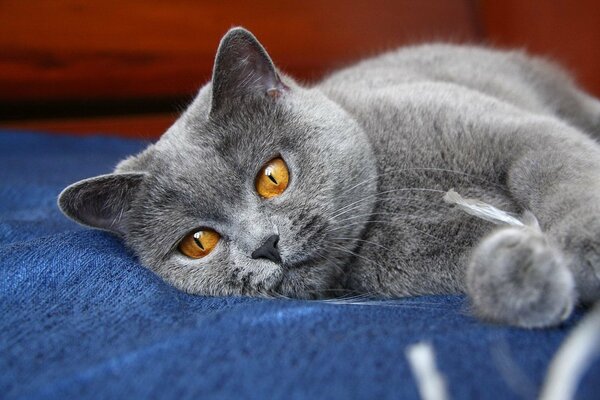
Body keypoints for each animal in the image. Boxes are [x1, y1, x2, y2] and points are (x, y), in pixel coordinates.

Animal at [58, 28, 600, 328]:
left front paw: (587, 249)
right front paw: (527, 278)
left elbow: (558, 172)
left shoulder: (517, 132)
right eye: (198, 243)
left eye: (272, 177)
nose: (265, 245)